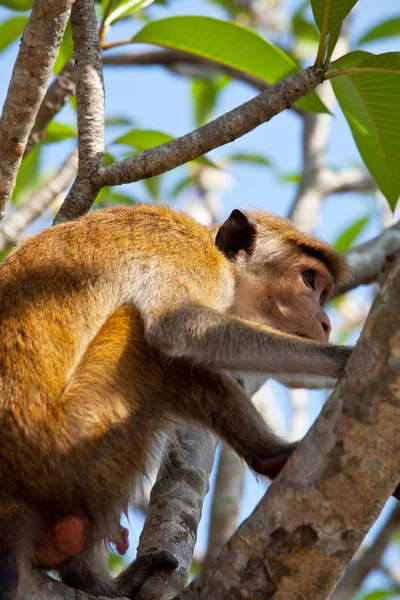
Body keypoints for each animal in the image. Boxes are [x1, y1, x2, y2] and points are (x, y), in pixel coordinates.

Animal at [0, 204, 352, 596]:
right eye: (308, 279)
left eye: (323, 291)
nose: (325, 323)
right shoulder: (192, 260)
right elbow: (180, 327)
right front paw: (340, 358)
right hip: (68, 448)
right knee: (143, 336)